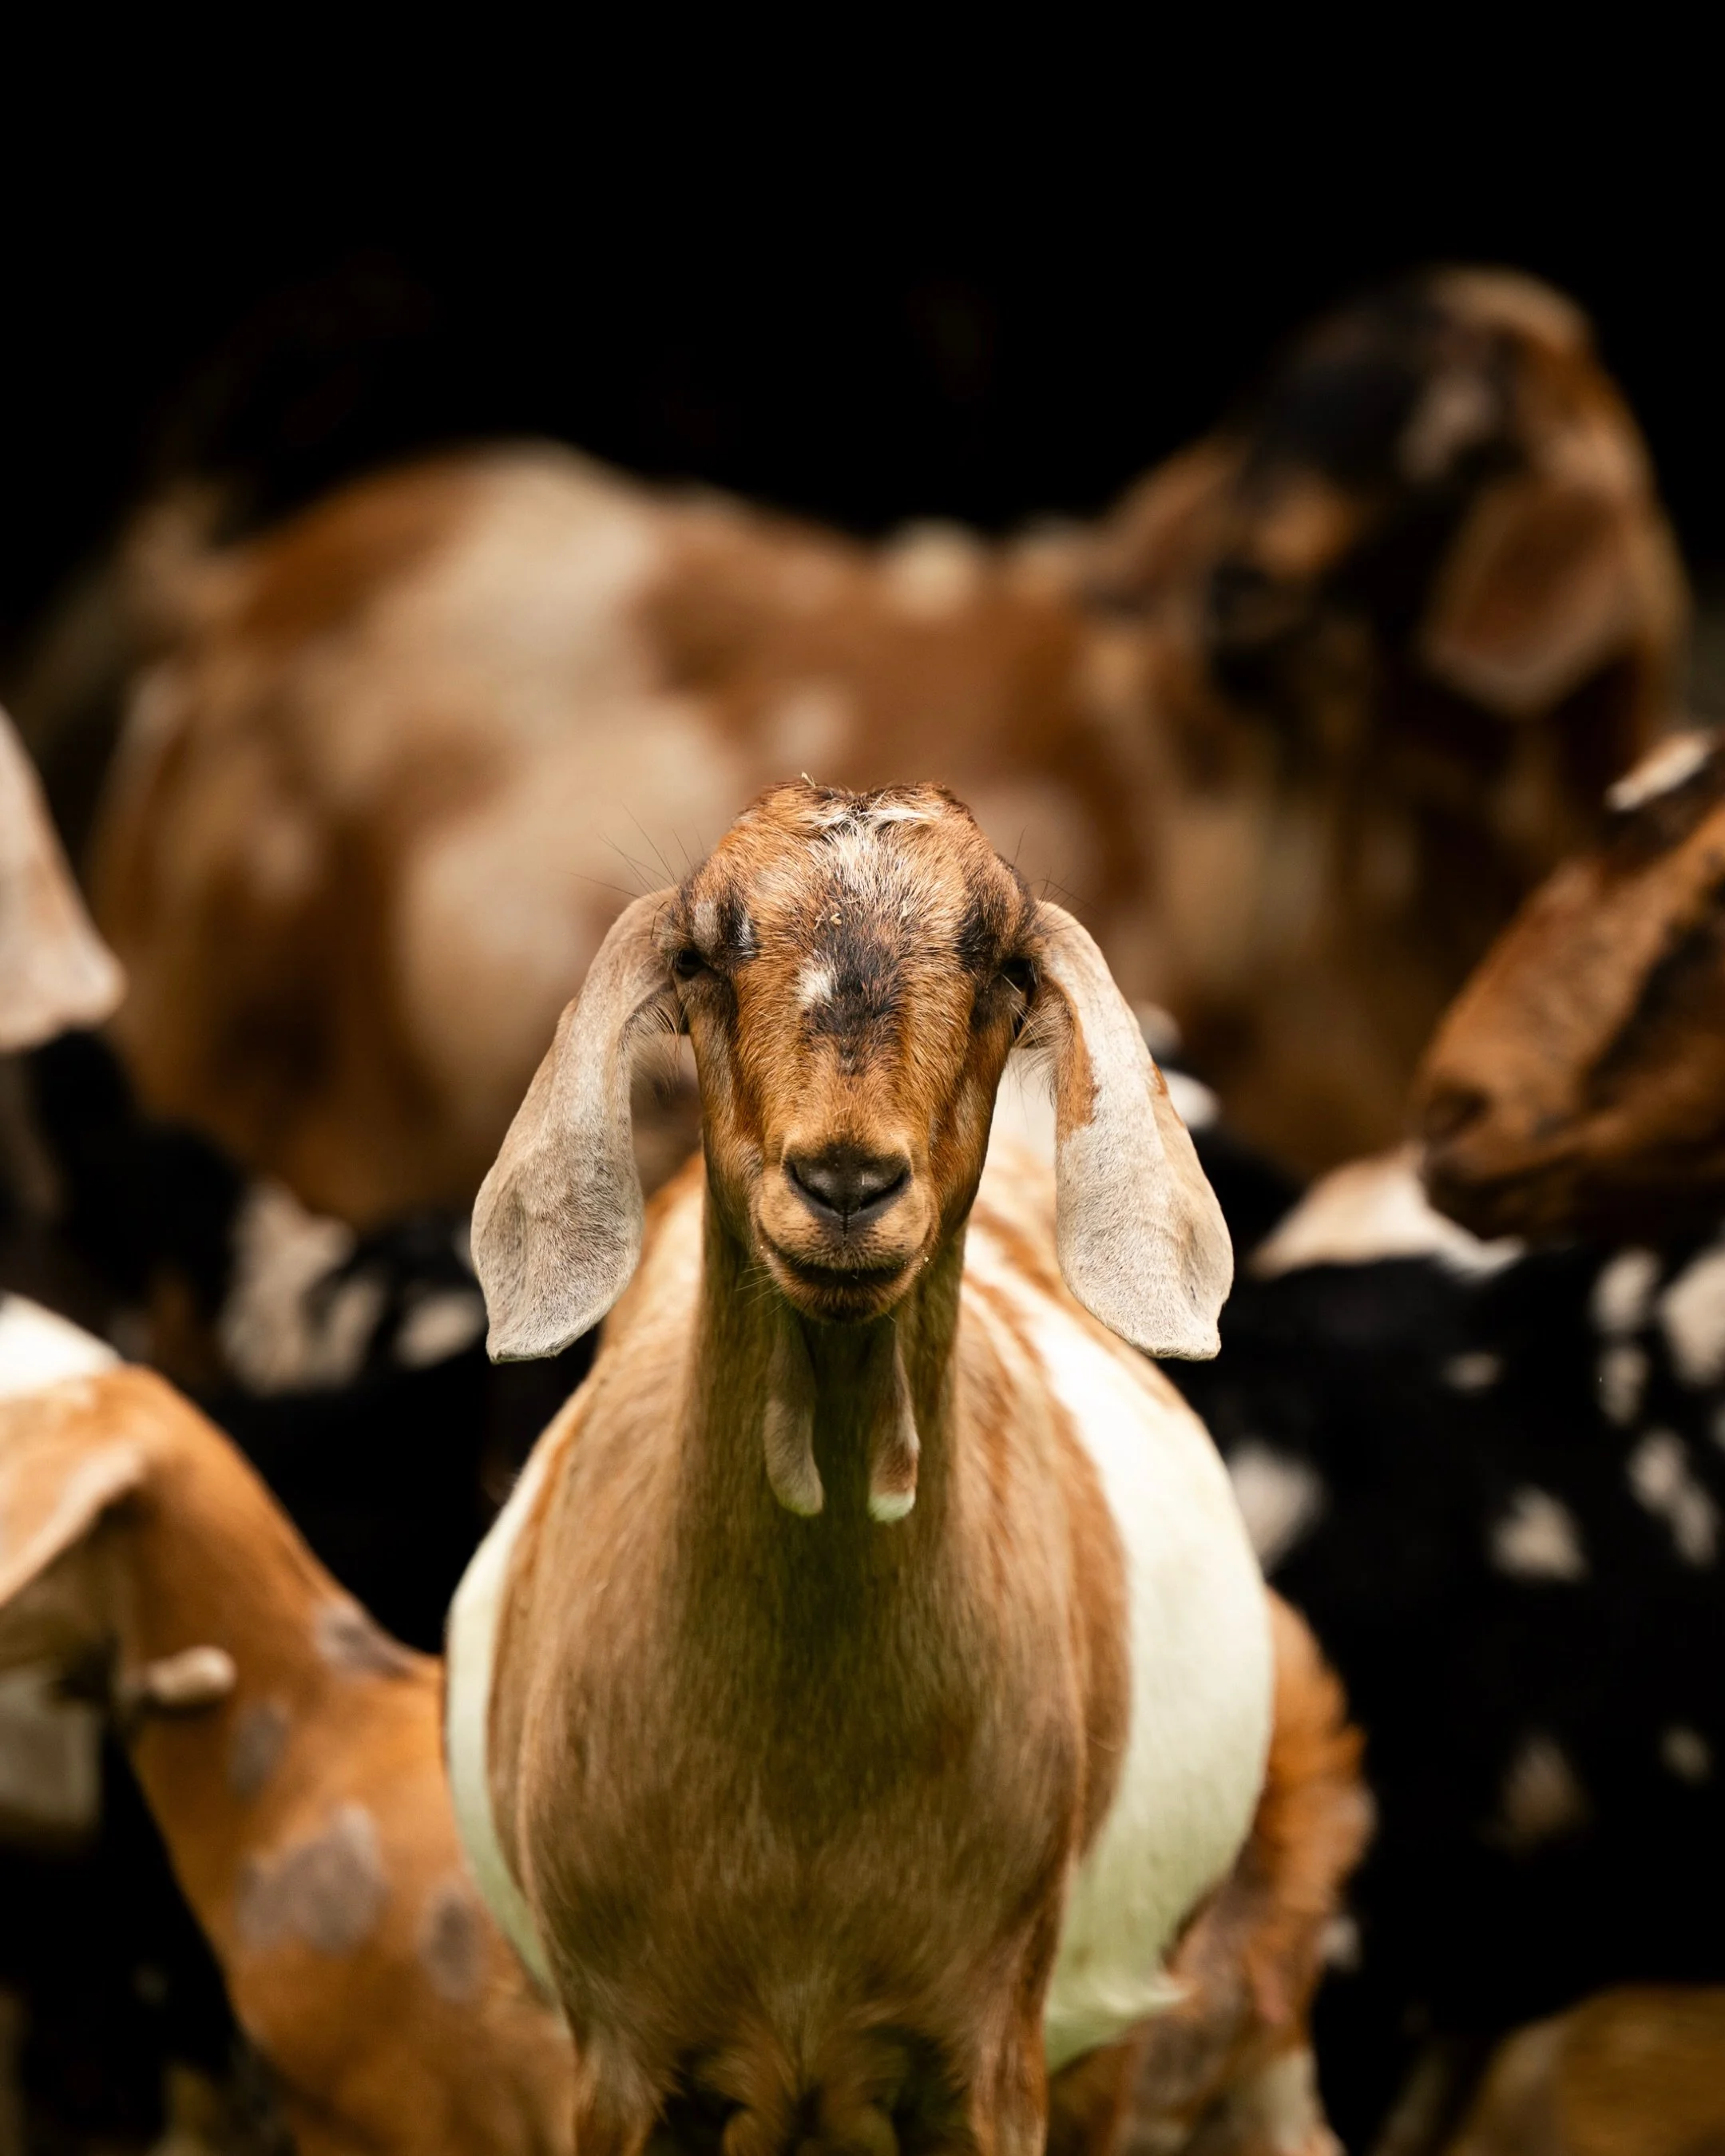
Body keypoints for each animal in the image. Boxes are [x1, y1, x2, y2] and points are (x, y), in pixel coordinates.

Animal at [446, 778, 1306, 2156]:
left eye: (997, 953)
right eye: (708, 948)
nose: (845, 1180)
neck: (802, 1808)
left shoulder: (986, 2051)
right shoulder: (619, 2058)